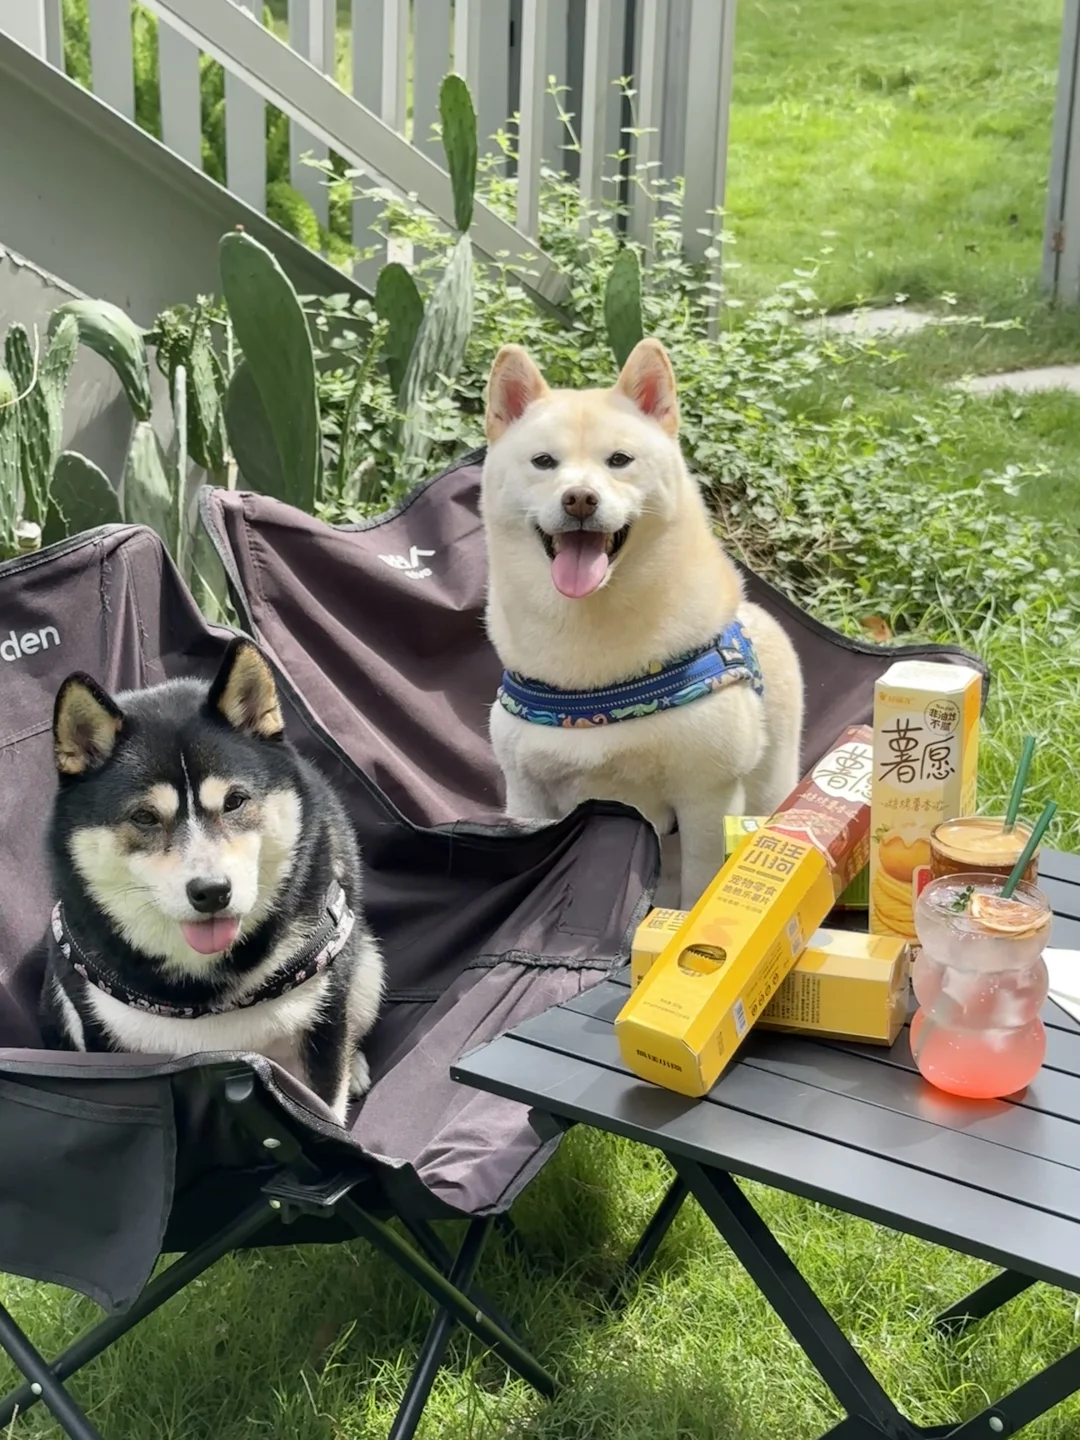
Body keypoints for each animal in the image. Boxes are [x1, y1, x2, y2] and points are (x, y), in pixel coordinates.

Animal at [38, 638, 384, 1122]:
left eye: (235, 801)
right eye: (144, 817)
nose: (212, 892)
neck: (201, 994)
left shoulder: (326, 1013)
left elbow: (328, 1108)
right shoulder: (103, 1037)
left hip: (370, 966)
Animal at [481, 337, 804, 909]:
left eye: (619, 461)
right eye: (543, 462)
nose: (579, 498)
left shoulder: (707, 797)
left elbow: (700, 886)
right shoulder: (527, 796)